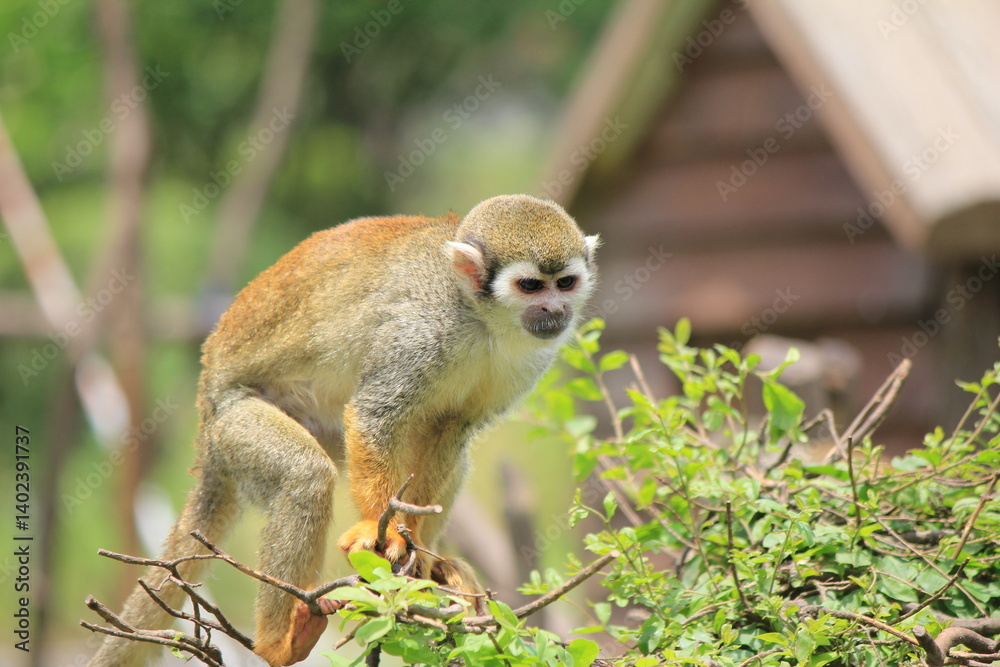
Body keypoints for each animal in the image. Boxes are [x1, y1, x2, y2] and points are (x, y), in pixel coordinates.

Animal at [87, 194, 599, 666]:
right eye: (530, 285)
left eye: (565, 282)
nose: (554, 308)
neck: (481, 317)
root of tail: (206, 409)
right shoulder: (421, 330)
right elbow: (376, 414)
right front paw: (382, 530)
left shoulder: (529, 358)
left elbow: (450, 428)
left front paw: (417, 545)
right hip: (233, 425)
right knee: (306, 474)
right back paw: (279, 642)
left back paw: (438, 565)